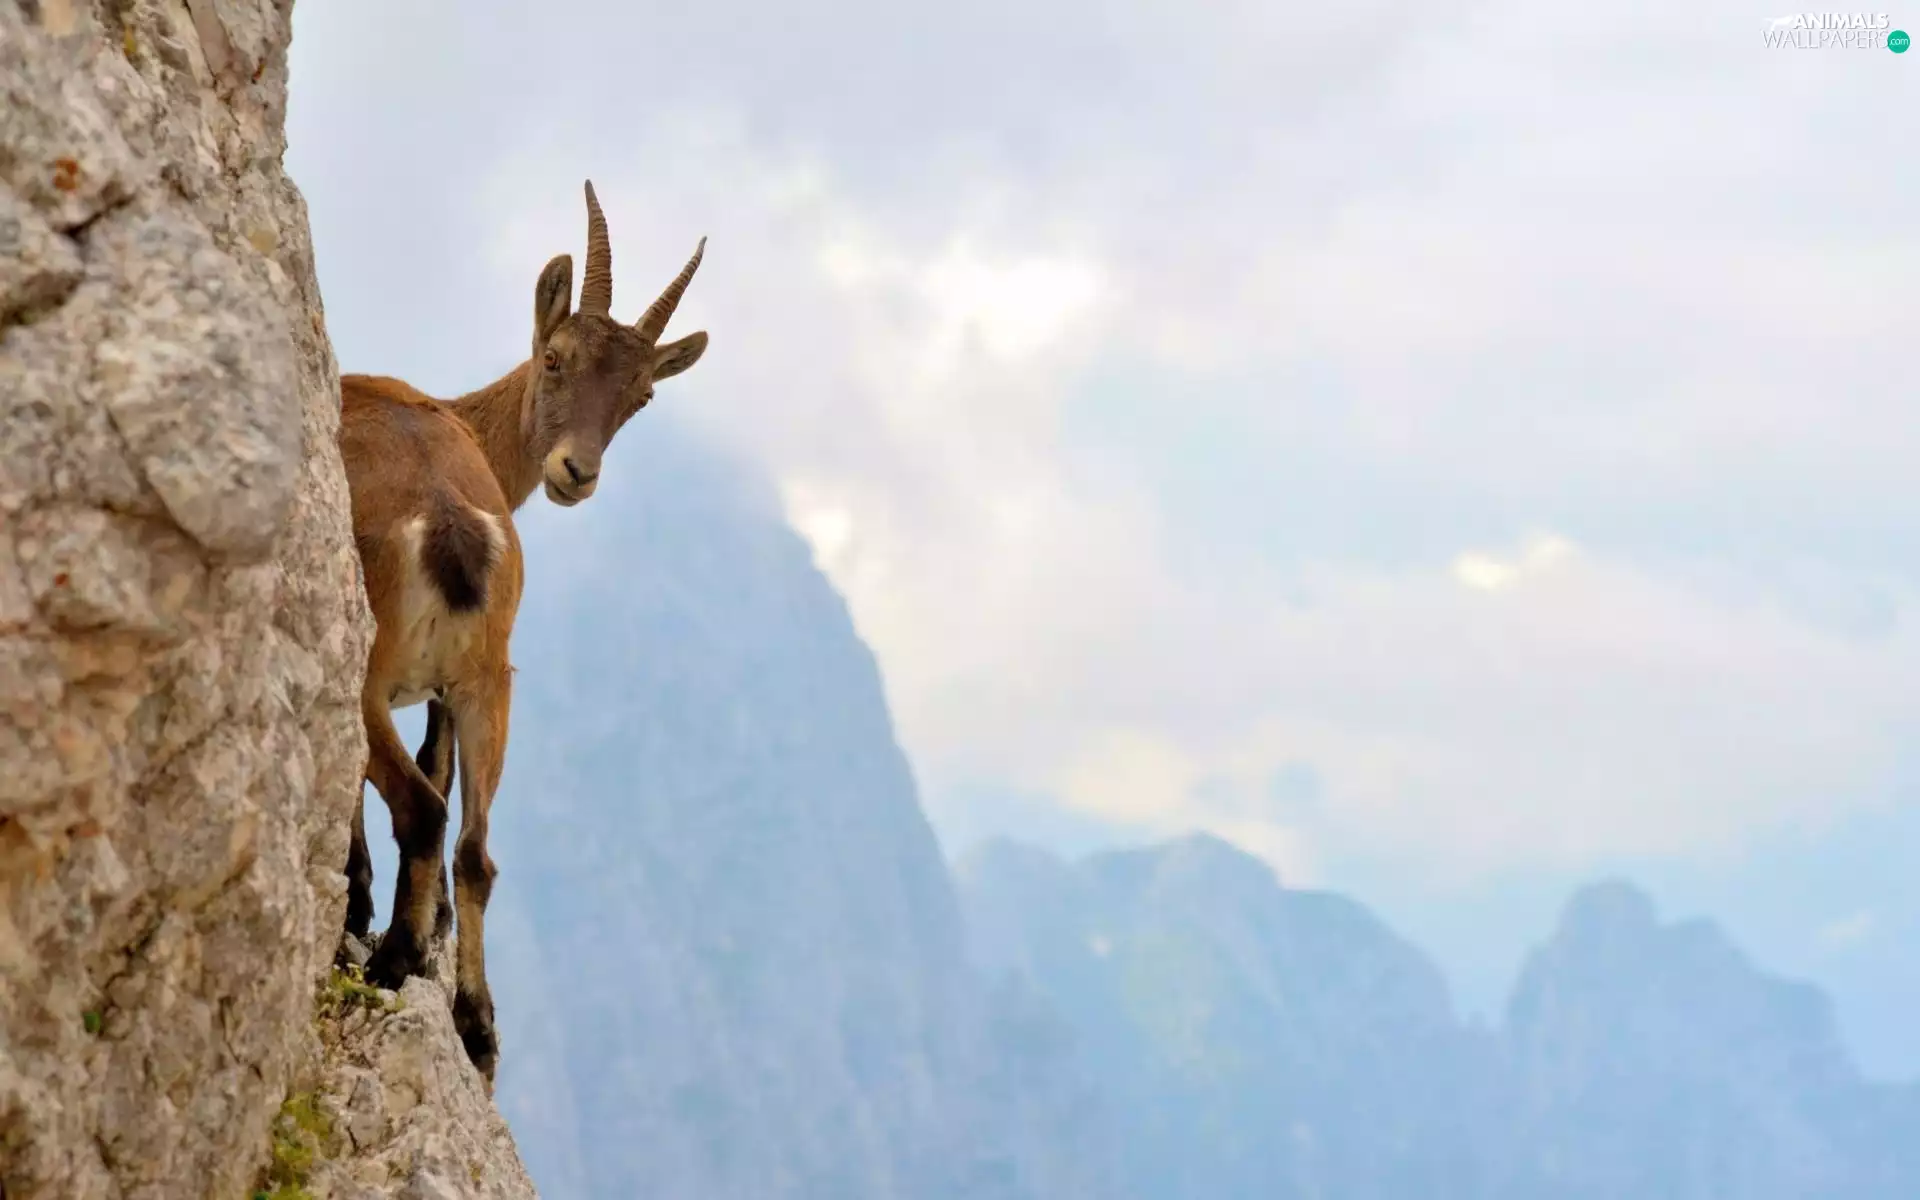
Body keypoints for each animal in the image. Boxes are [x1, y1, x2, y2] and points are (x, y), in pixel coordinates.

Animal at [337, 181, 708, 1086]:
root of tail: (447, 523)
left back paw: (393, 963)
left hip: (371, 673)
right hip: (490, 681)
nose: (577, 471)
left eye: (641, 395)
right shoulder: (446, 690)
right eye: (557, 358)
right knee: (475, 846)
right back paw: (474, 1025)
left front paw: (365, 909)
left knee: (421, 808)